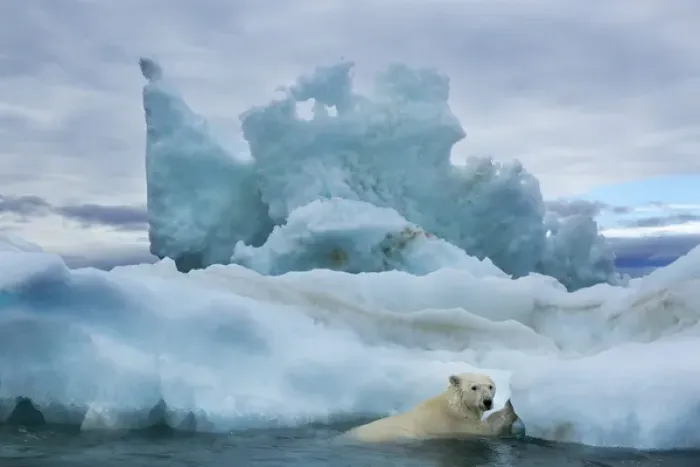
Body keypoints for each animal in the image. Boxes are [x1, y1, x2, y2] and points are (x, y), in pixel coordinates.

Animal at [342, 372, 519, 443]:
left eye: (490, 386)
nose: (487, 402)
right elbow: (487, 430)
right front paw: (510, 407)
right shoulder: (458, 422)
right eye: (474, 387)